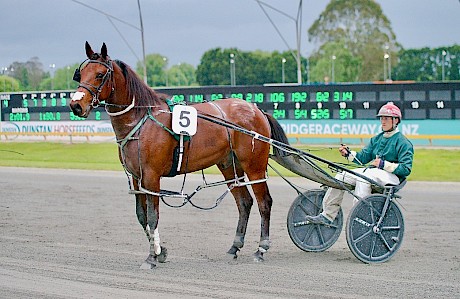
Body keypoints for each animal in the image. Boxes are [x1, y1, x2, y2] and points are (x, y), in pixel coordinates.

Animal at [69, 42, 288, 270]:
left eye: (100, 74)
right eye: (81, 74)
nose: (76, 105)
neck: (141, 121)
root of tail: (256, 109)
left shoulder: (151, 176)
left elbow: (153, 216)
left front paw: (151, 257)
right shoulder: (137, 178)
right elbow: (142, 216)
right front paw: (160, 251)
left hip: (254, 166)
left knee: (264, 202)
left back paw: (261, 249)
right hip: (229, 166)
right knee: (244, 203)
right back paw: (234, 247)